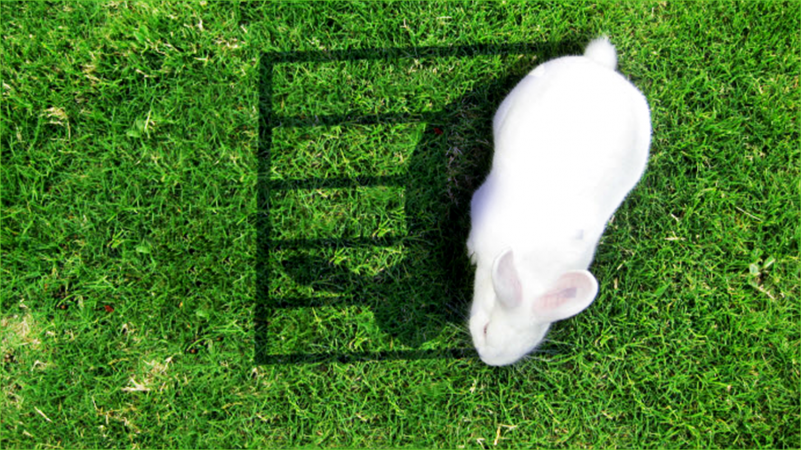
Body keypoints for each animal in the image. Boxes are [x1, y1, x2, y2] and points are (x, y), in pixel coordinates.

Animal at [468, 37, 648, 368]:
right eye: (485, 329)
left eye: (528, 346)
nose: (488, 359)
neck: (530, 269)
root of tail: (598, 65)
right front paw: (471, 256)